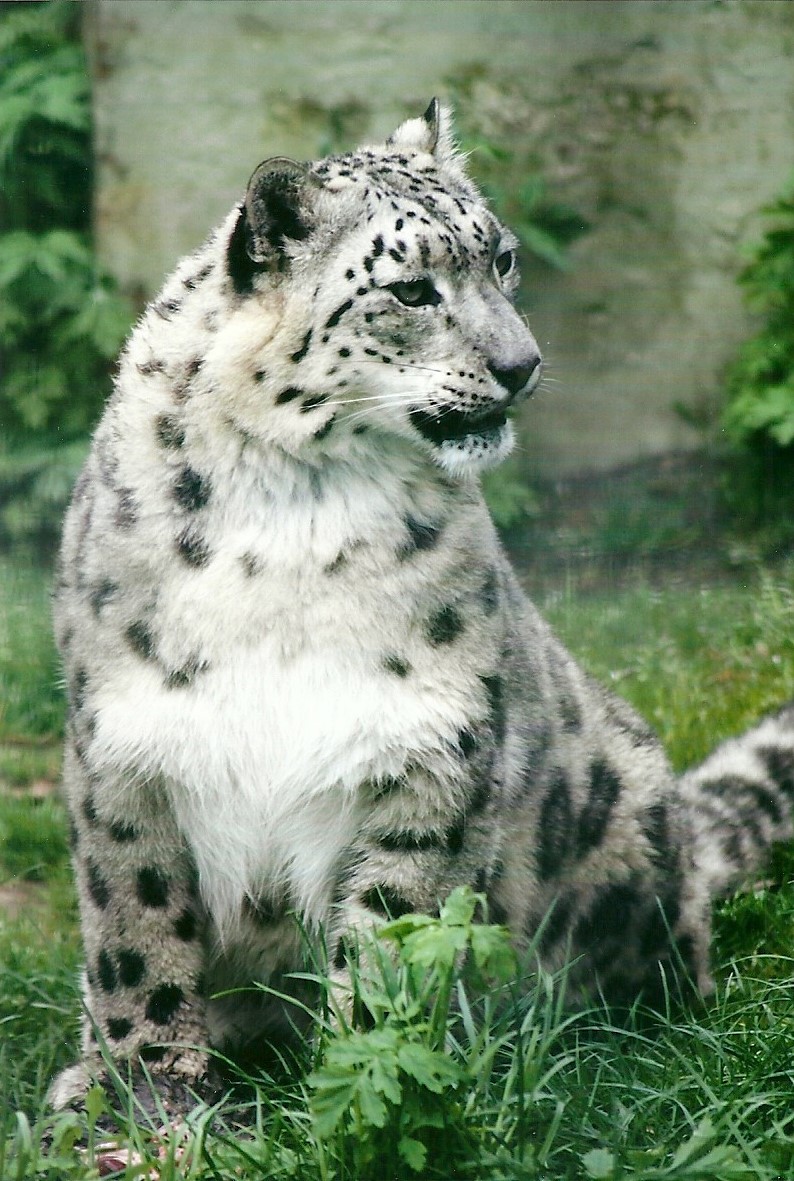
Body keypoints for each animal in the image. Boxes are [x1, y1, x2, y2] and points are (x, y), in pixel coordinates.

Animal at [50, 99, 794, 1118]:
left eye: (503, 259)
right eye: (409, 289)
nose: (521, 364)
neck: (296, 505)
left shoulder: (426, 745)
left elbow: (394, 937)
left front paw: (369, 1075)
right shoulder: (126, 747)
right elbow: (136, 931)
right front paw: (144, 1096)